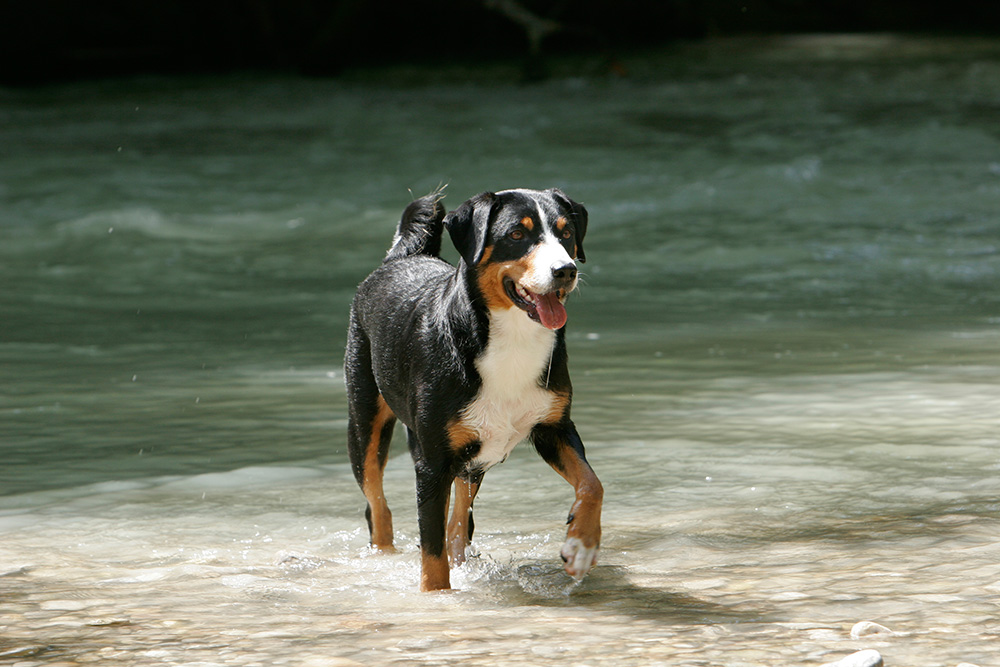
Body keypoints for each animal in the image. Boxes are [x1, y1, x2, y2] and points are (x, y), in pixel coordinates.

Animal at [346, 187, 600, 588]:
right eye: (517, 234)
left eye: (566, 233)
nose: (565, 270)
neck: (512, 342)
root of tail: (405, 255)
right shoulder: (432, 463)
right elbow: (431, 554)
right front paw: (438, 596)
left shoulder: (554, 427)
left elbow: (592, 484)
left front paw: (581, 546)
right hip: (365, 423)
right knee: (378, 507)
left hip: (473, 456)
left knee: (458, 523)